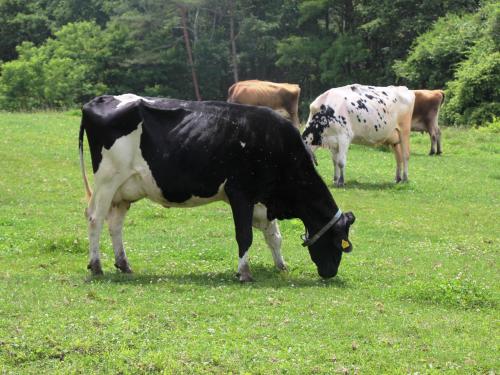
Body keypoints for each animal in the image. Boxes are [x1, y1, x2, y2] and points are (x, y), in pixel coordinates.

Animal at [80, 94, 356, 282]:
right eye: (339, 242)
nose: (331, 272)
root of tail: (101, 99)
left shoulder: (262, 200)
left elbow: (273, 236)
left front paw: (281, 265)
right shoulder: (241, 193)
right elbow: (245, 235)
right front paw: (244, 272)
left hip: (124, 191)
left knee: (115, 224)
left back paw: (124, 264)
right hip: (107, 181)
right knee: (95, 218)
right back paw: (96, 265)